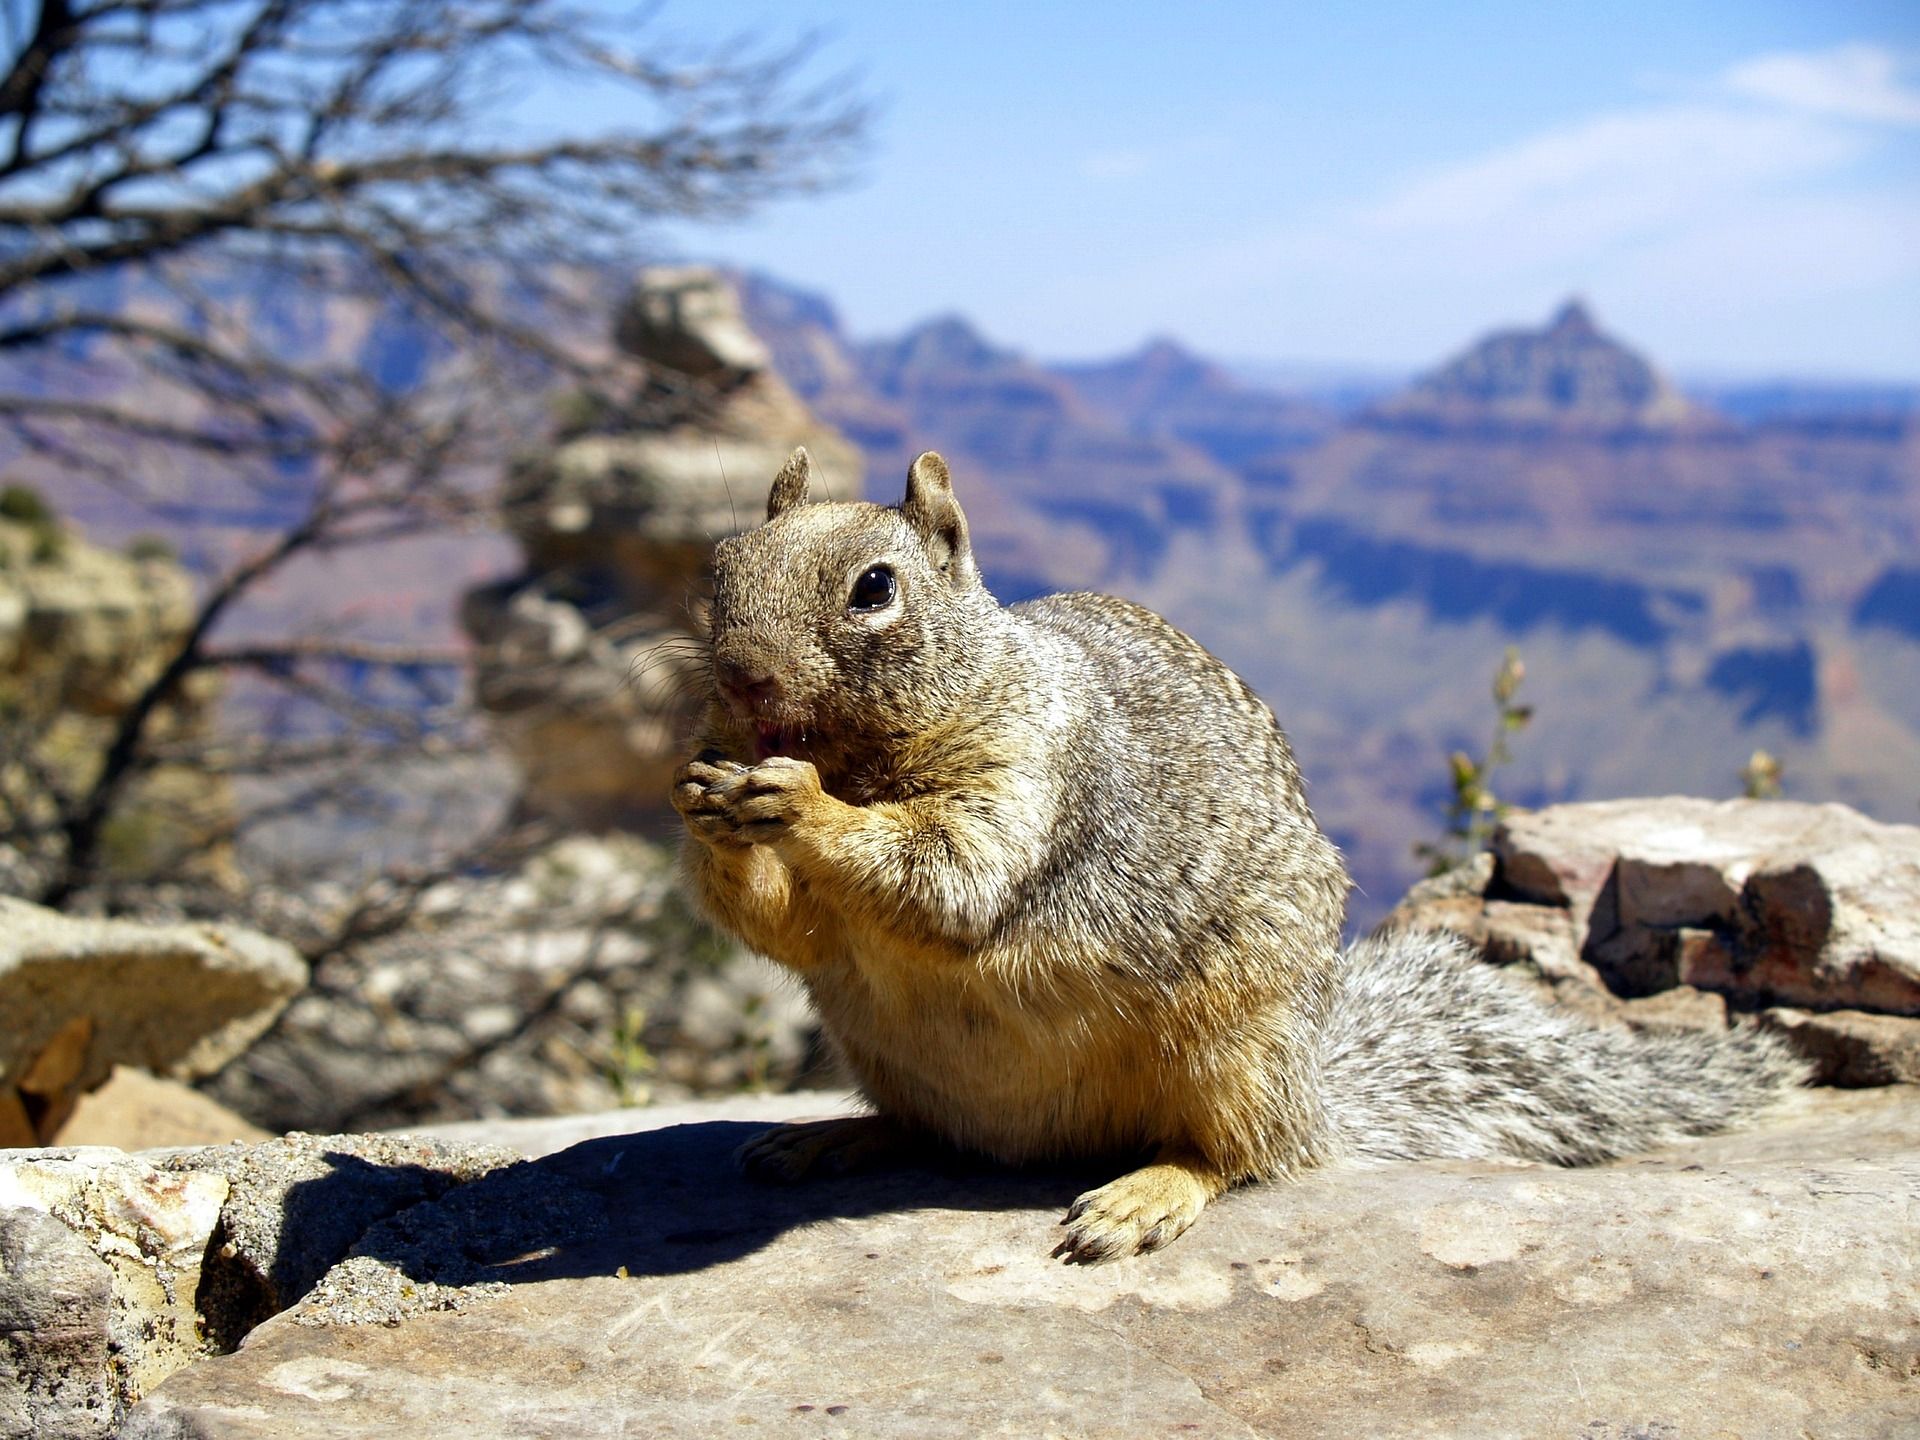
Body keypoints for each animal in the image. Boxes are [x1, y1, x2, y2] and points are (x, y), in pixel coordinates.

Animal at [671, 447, 1806, 1262]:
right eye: (718, 570)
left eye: (874, 588)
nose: (743, 678)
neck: (868, 755)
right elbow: (787, 927)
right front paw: (700, 798)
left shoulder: (1033, 771)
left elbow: (951, 872)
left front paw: (794, 798)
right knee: (926, 1131)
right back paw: (823, 1137)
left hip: (1235, 1049)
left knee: (1240, 1158)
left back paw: (1139, 1199)